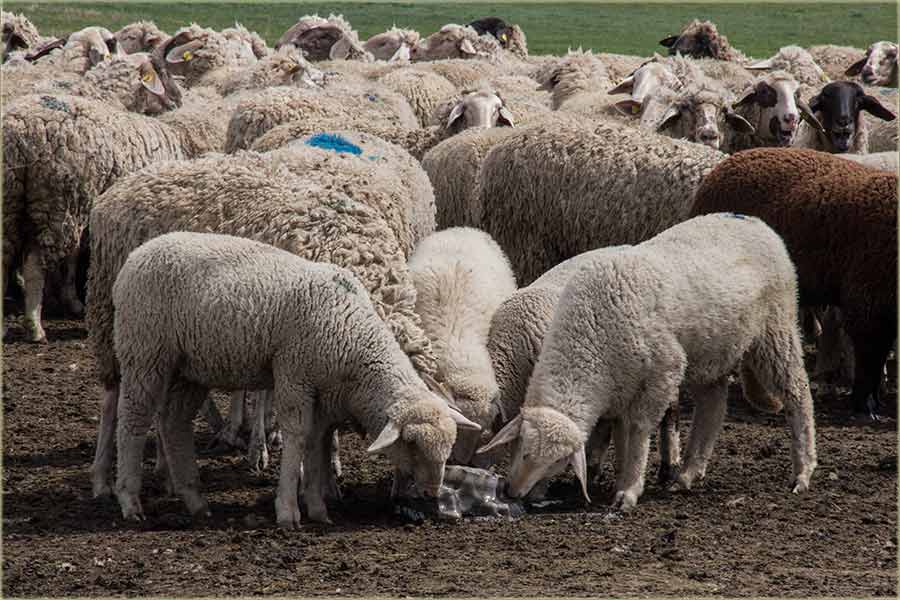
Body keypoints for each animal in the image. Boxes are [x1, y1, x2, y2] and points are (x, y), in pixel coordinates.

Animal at [86, 138, 441, 494]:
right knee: (112, 398)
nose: (418, 497)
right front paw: (288, 465)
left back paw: (169, 465)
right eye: (410, 444)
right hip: (117, 315)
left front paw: (329, 468)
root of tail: (118, 188)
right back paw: (103, 476)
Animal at [110, 231, 478, 526]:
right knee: (132, 419)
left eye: (448, 446)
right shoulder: (294, 374)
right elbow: (297, 437)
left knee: (174, 422)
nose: (431, 493)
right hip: (145, 351)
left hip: (191, 368)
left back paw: (195, 500)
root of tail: (135, 256)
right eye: (411, 444)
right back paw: (129, 500)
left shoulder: (326, 396)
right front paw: (288, 509)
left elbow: (317, 443)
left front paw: (317, 508)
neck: (353, 336)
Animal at [479, 213, 817, 510]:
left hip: (775, 328)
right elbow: (623, 434)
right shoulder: (620, 388)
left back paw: (803, 471)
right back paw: (688, 474)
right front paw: (620, 479)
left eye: (557, 462)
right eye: (522, 448)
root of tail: (753, 221)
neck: (588, 331)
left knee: (797, 393)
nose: (513, 492)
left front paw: (628, 489)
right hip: (712, 351)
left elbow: (638, 431)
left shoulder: (664, 370)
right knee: (712, 406)